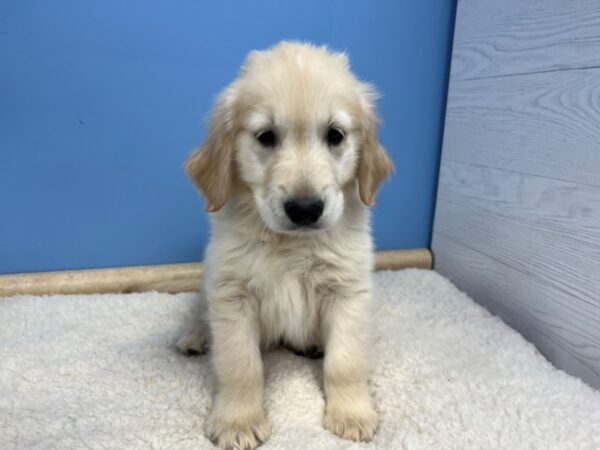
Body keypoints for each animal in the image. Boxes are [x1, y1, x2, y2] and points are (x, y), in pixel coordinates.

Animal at [177, 41, 394, 450]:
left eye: (335, 135)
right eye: (266, 137)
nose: (305, 209)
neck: (291, 245)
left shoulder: (348, 291)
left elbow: (346, 361)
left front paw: (352, 413)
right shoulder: (231, 292)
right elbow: (239, 364)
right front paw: (238, 421)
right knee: (202, 312)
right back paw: (195, 337)